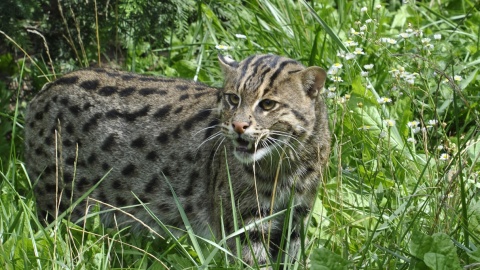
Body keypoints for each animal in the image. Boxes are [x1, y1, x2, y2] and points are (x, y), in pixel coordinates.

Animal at [25, 54, 330, 266]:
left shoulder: (295, 218)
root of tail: (45, 88)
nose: (238, 126)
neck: (284, 164)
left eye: (267, 104)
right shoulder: (245, 222)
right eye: (233, 99)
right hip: (61, 203)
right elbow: (254, 261)